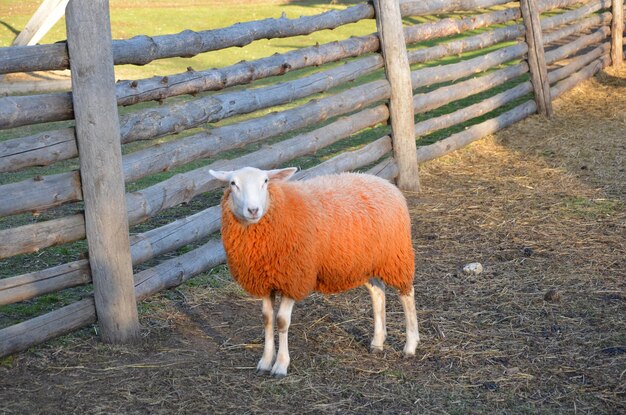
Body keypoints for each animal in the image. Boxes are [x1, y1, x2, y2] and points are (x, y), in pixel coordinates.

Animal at [210, 166, 420, 376]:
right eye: (233, 184)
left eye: (266, 181)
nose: (253, 210)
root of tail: (386, 183)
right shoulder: (264, 281)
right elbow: (267, 319)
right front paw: (265, 361)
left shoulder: (294, 277)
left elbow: (281, 321)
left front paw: (281, 365)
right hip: (366, 263)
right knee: (377, 292)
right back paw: (377, 342)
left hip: (396, 256)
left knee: (407, 294)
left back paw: (410, 346)